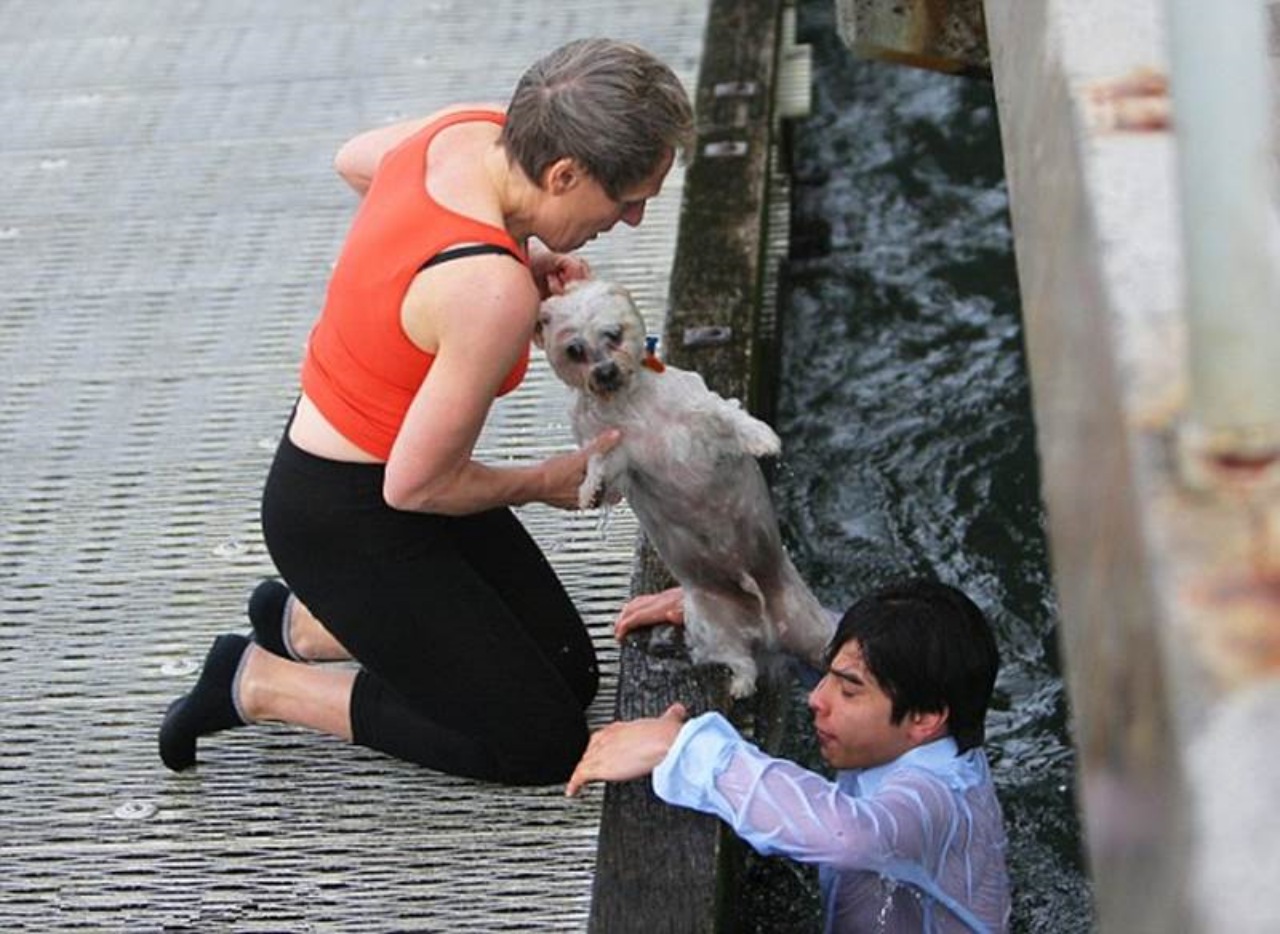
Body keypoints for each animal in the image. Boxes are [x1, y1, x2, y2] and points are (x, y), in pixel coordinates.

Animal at [535, 276, 834, 690]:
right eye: (574, 349)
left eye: (613, 334)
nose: (605, 372)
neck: (631, 405)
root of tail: (767, 621)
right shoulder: (616, 455)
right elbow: (602, 469)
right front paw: (589, 489)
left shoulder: (700, 413)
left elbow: (731, 416)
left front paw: (762, 439)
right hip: (712, 622)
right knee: (739, 659)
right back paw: (740, 684)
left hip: (814, 628)